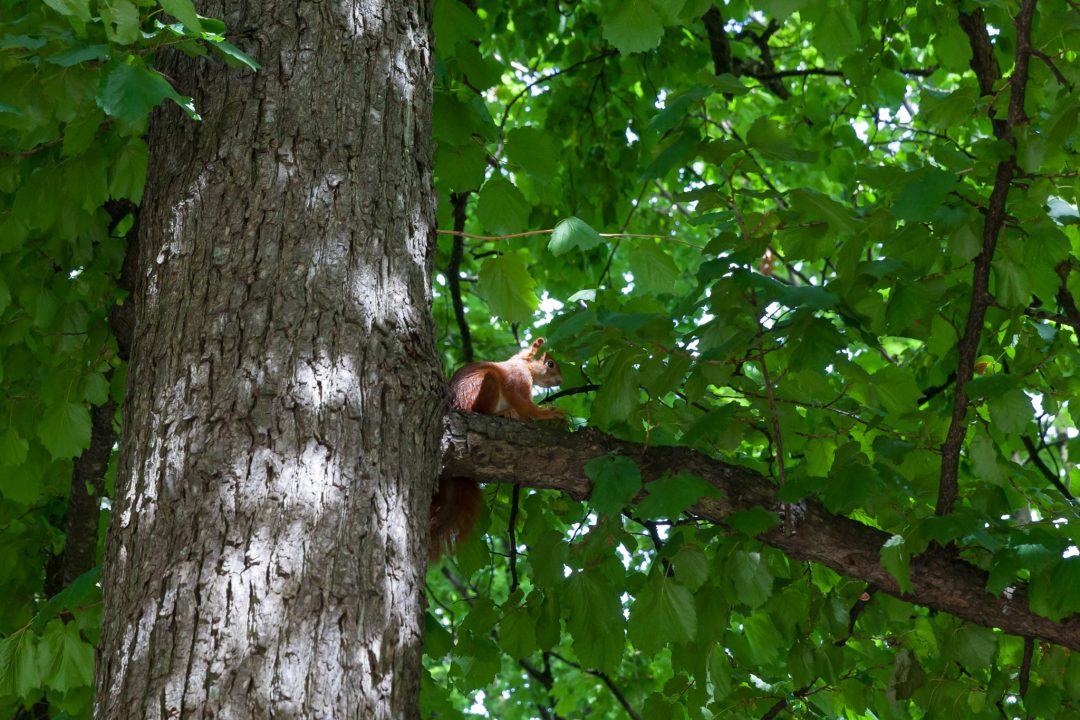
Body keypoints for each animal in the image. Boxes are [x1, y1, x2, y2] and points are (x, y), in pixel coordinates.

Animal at [430, 337, 563, 558]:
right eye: (550, 364)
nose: (561, 381)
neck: (523, 364)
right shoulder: (518, 380)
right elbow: (524, 405)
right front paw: (550, 413)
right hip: (485, 385)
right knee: (481, 409)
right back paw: (501, 413)